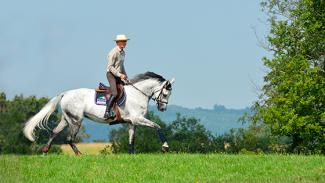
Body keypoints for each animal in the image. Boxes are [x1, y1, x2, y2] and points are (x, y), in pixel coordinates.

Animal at [23, 71, 175, 154]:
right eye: (165, 94)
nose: (163, 109)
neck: (137, 94)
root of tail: (65, 93)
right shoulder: (138, 119)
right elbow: (157, 126)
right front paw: (165, 147)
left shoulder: (132, 122)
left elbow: (131, 140)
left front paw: (131, 155)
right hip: (76, 120)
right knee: (69, 139)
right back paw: (80, 155)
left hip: (66, 119)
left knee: (54, 132)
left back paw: (45, 151)